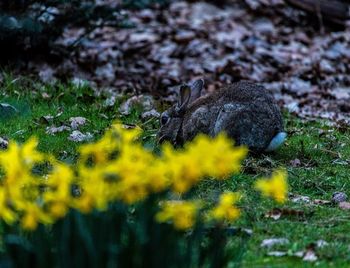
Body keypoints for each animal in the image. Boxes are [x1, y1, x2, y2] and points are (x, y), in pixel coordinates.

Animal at [157, 78, 286, 152]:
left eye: (164, 119)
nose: (158, 138)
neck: (183, 120)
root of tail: (273, 133)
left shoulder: (200, 119)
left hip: (227, 120)